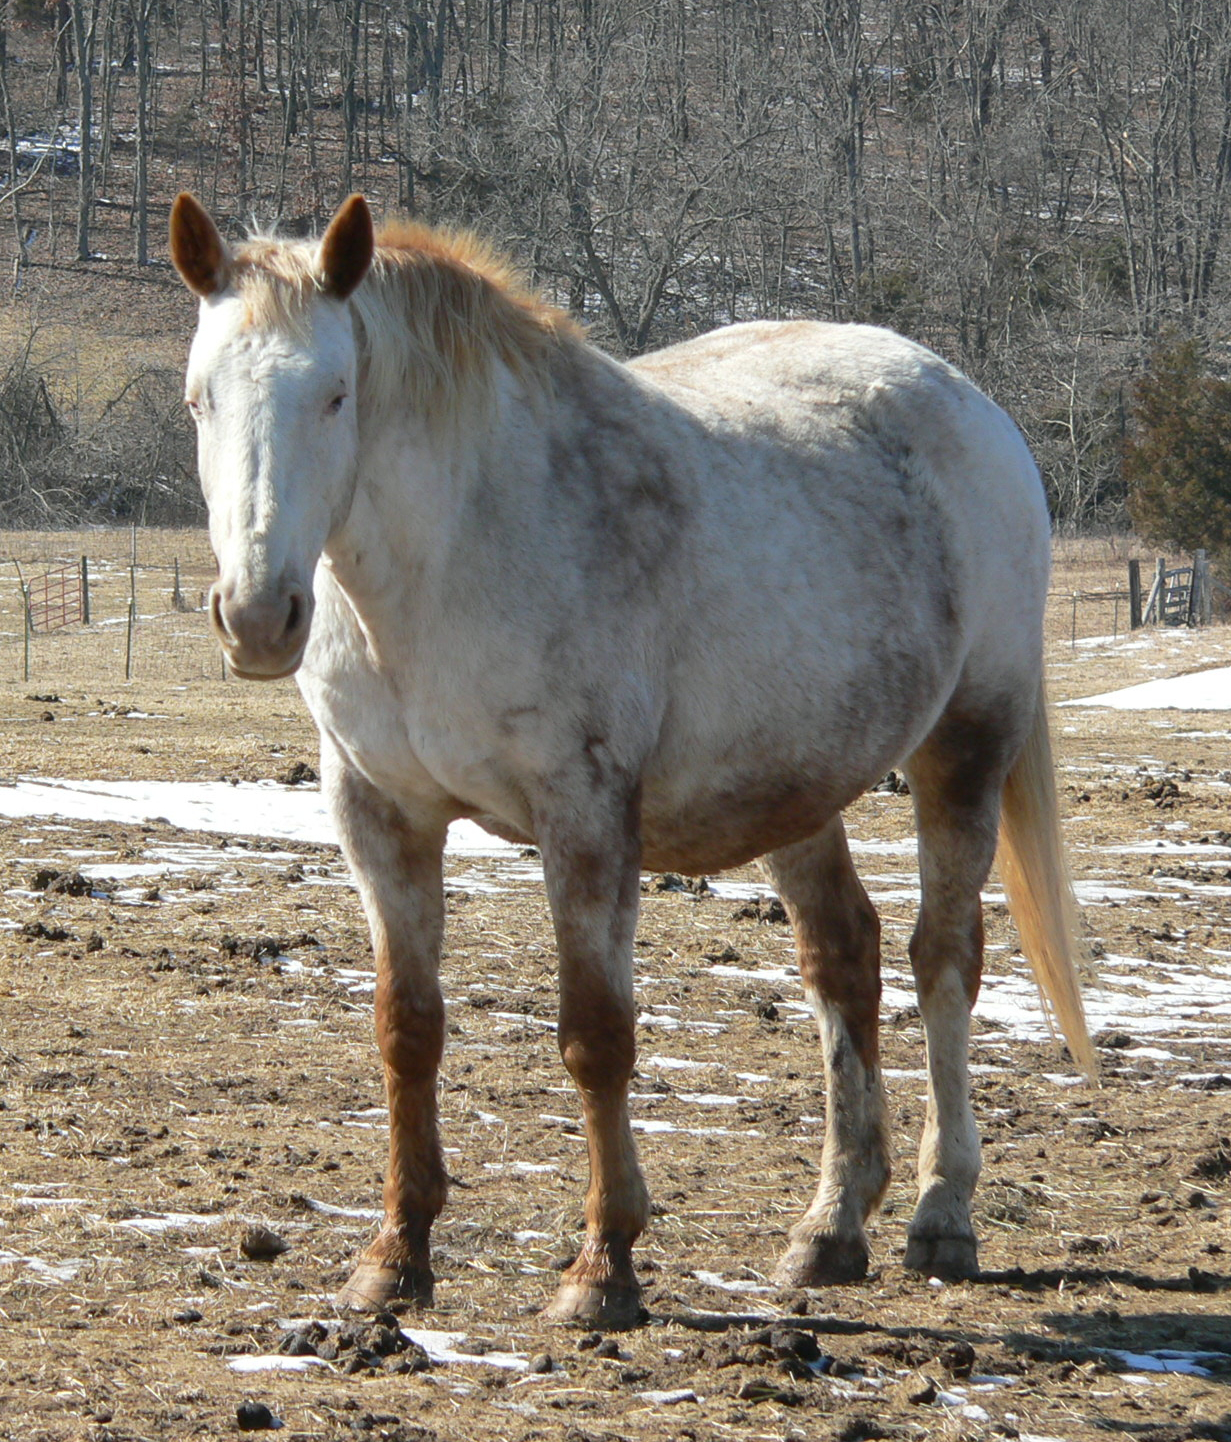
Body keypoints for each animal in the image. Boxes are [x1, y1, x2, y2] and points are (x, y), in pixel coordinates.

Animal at [170, 190, 1094, 1329]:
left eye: (336, 395)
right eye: (201, 401)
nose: (258, 617)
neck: (457, 549)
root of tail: (973, 406)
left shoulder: (583, 812)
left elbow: (595, 1034)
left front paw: (603, 1266)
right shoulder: (379, 812)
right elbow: (406, 1031)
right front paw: (396, 1255)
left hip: (962, 752)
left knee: (944, 960)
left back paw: (941, 1212)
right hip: (796, 786)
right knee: (844, 959)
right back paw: (830, 1228)